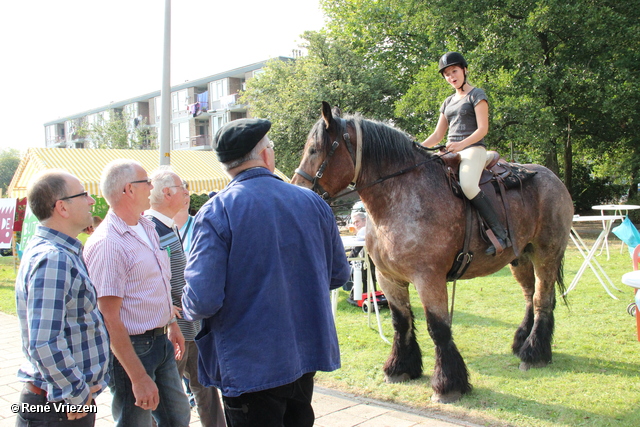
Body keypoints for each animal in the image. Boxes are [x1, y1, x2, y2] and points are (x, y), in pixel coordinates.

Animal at [292, 102, 576, 402]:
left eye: (315, 149)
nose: (297, 187)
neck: (401, 196)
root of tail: (551, 177)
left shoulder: (429, 279)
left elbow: (438, 328)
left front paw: (448, 384)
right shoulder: (388, 278)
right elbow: (401, 321)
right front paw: (400, 367)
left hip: (546, 254)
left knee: (542, 299)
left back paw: (534, 353)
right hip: (520, 258)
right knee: (529, 295)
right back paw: (523, 340)